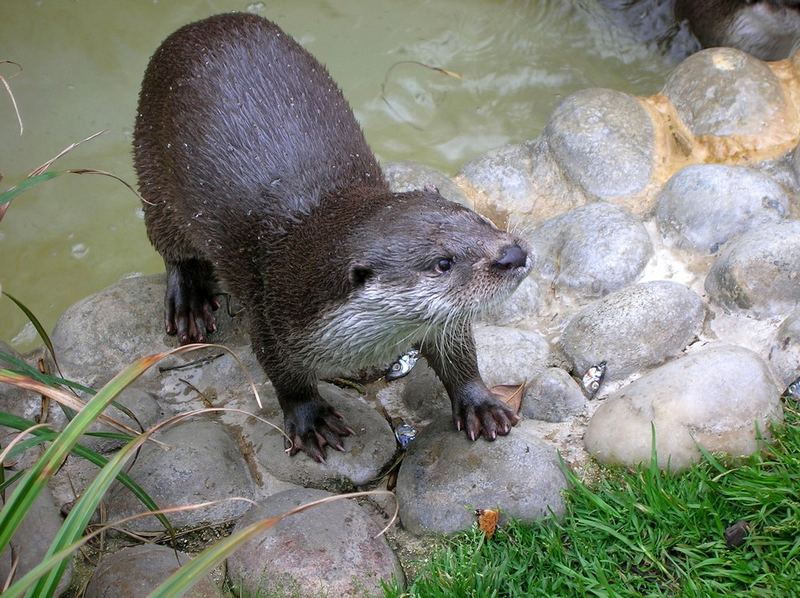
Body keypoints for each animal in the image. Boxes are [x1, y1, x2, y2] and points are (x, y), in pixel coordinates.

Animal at [133, 14, 532, 464]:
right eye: (442, 263)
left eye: (479, 219)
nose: (512, 254)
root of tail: (200, 24)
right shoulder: (271, 320)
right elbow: (285, 378)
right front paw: (311, 420)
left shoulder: (443, 326)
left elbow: (459, 356)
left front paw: (480, 405)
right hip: (153, 173)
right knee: (172, 247)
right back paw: (190, 304)